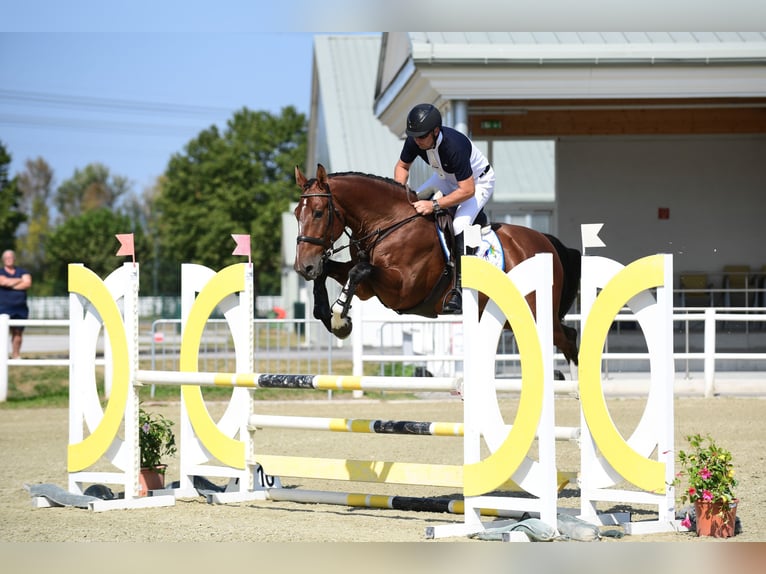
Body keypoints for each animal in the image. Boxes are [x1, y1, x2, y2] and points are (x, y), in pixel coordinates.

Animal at [294, 164, 584, 366]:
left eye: (318, 213)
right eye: (297, 214)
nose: (302, 267)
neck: (388, 223)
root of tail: (545, 242)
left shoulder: (402, 289)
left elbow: (358, 271)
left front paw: (339, 318)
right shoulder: (369, 288)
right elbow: (332, 271)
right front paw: (325, 311)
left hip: (535, 313)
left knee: (568, 339)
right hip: (510, 317)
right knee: (566, 337)